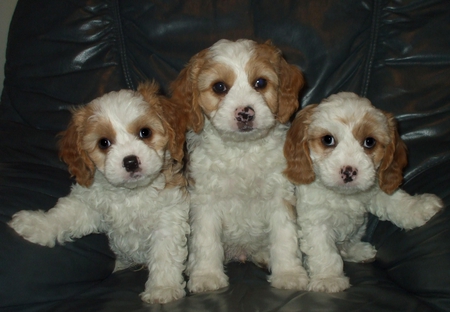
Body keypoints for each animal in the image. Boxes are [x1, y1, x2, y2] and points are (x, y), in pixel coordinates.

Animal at [9, 81, 190, 304]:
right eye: (104, 143)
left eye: (145, 132)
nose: (130, 161)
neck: (131, 194)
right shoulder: (88, 204)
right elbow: (62, 216)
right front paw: (35, 224)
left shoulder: (168, 215)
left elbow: (164, 252)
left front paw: (163, 288)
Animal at [170, 38, 310, 292]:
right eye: (219, 87)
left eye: (260, 83)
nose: (245, 113)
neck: (242, 150)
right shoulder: (205, 201)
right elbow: (206, 240)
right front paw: (207, 276)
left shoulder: (280, 197)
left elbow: (285, 237)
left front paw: (289, 274)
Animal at [284, 92, 444, 292]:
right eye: (328, 140)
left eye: (369, 142)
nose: (349, 171)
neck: (343, 195)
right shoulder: (315, 219)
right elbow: (323, 250)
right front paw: (328, 279)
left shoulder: (375, 187)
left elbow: (396, 201)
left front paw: (419, 208)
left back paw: (358, 251)